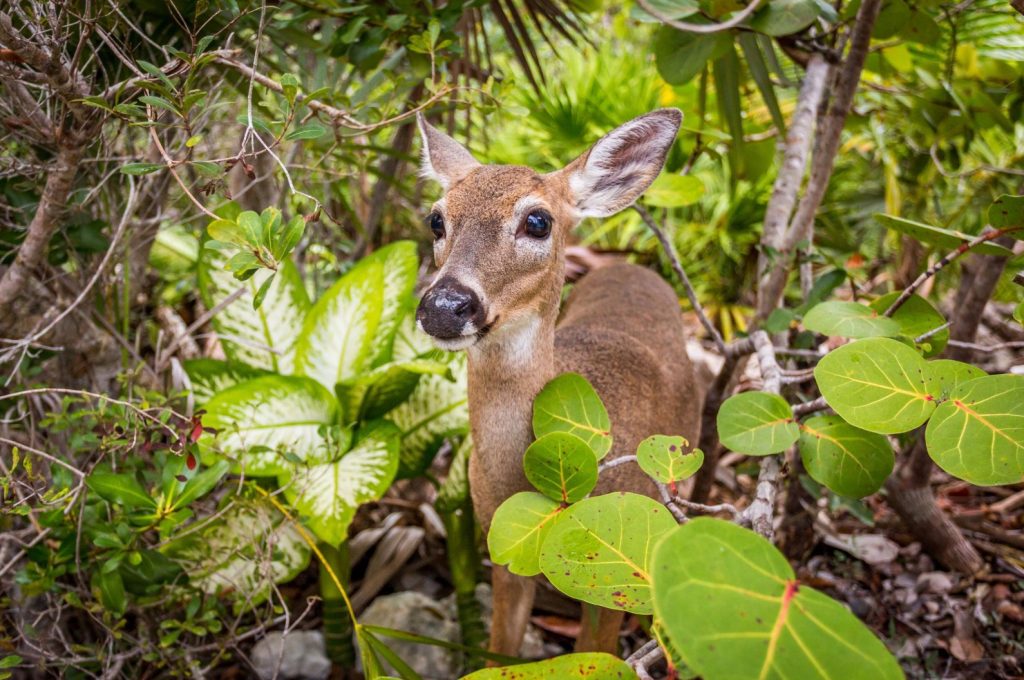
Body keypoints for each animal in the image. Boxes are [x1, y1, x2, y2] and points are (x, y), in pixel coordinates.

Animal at [414, 109, 701, 657]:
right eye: (436, 219)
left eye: (537, 221)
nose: (444, 305)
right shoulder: (502, 545)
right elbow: (501, 652)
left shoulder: (613, 580)